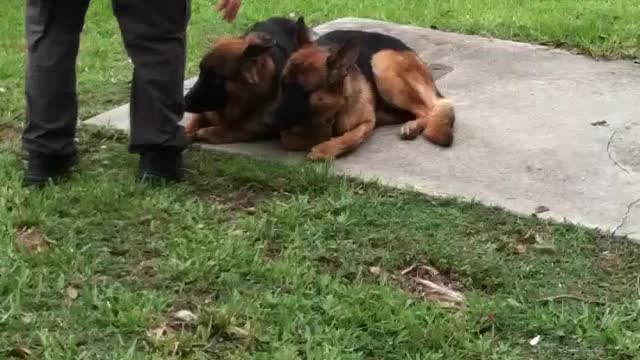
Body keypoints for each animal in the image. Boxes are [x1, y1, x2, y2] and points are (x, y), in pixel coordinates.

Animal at [276, 17, 456, 160]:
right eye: (283, 84)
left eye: (303, 91)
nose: (274, 119)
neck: (333, 110)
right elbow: (288, 139)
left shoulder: (367, 122)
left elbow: (351, 138)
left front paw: (325, 149)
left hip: (381, 62)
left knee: (428, 110)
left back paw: (412, 126)